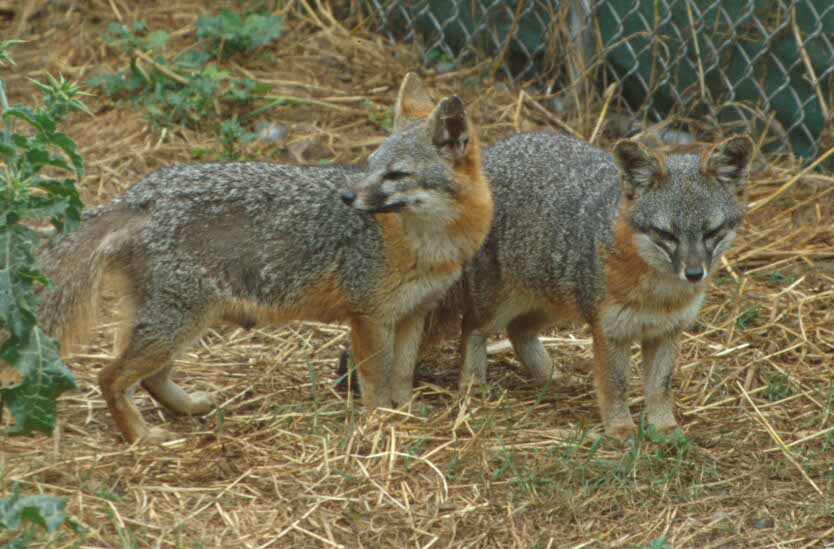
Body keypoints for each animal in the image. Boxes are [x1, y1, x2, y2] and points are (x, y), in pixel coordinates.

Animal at [38, 73, 493, 444]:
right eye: (368, 166)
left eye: (396, 175)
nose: (347, 197)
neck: (428, 246)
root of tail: (140, 193)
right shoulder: (369, 316)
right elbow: (376, 380)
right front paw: (380, 423)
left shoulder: (414, 312)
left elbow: (401, 373)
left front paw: (406, 413)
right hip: (178, 322)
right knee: (110, 376)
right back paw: (142, 437)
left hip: (187, 322)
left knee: (151, 376)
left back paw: (188, 408)